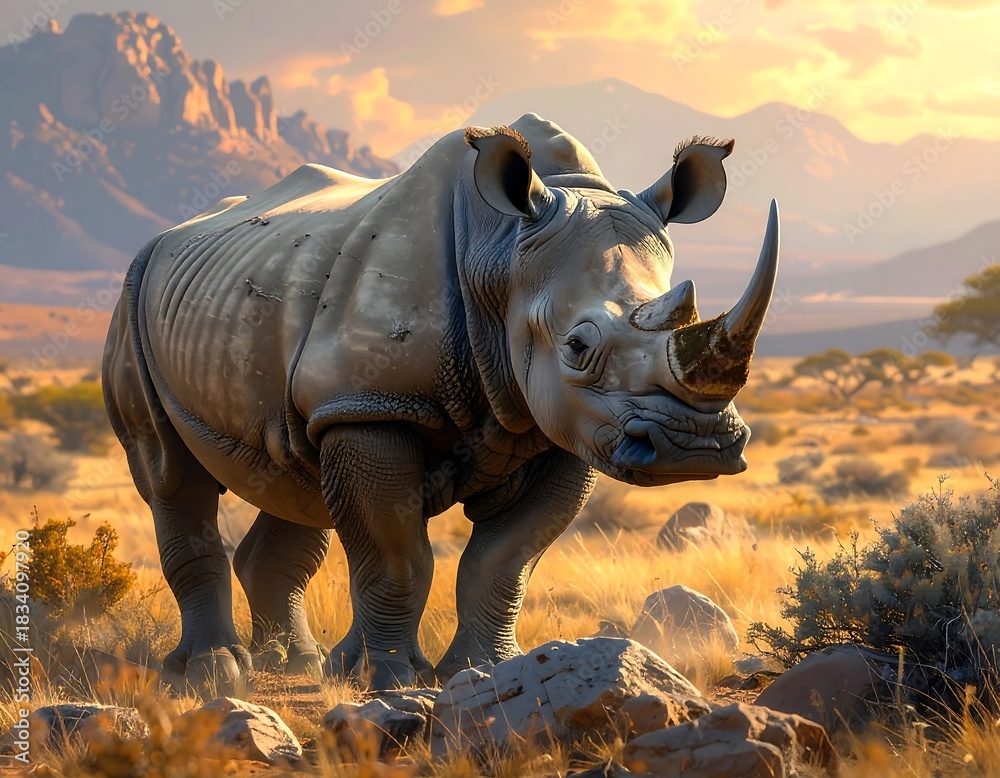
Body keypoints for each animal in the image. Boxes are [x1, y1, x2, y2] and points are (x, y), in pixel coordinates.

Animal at [103, 113, 779, 692]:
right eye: (578, 347)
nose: (695, 448)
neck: (502, 254)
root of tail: (166, 238)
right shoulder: (373, 406)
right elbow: (397, 557)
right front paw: (392, 678)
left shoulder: (562, 429)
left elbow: (503, 561)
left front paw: (482, 670)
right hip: (134, 297)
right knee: (171, 475)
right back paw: (212, 674)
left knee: (293, 475)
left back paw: (298, 665)